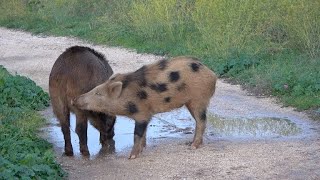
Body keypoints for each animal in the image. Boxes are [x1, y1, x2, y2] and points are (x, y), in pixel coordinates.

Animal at [72, 56, 218, 159]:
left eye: (98, 93)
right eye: (95, 89)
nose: (74, 100)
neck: (127, 96)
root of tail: (212, 74)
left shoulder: (141, 113)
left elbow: (137, 134)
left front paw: (132, 157)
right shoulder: (146, 114)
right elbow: (144, 133)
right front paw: (142, 149)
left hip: (198, 100)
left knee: (202, 121)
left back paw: (193, 146)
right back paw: (190, 143)